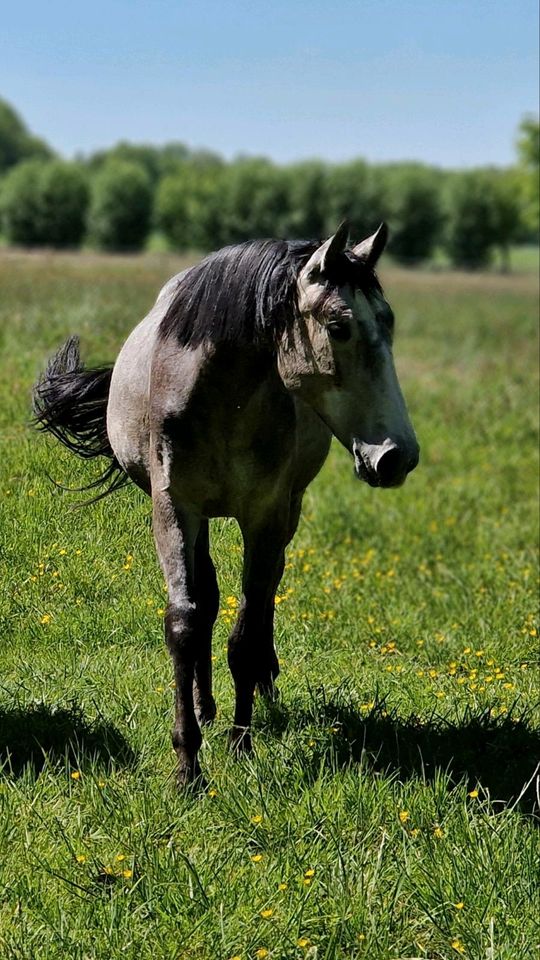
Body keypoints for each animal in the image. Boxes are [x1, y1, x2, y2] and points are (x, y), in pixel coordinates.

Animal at [33, 223, 420, 788]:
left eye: (388, 321)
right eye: (338, 325)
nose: (397, 457)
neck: (219, 398)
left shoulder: (264, 515)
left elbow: (245, 630)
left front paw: (241, 746)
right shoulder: (174, 509)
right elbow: (185, 621)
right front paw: (188, 763)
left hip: (288, 509)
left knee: (267, 594)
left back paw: (263, 682)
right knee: (210, 597)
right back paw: (205, 704)